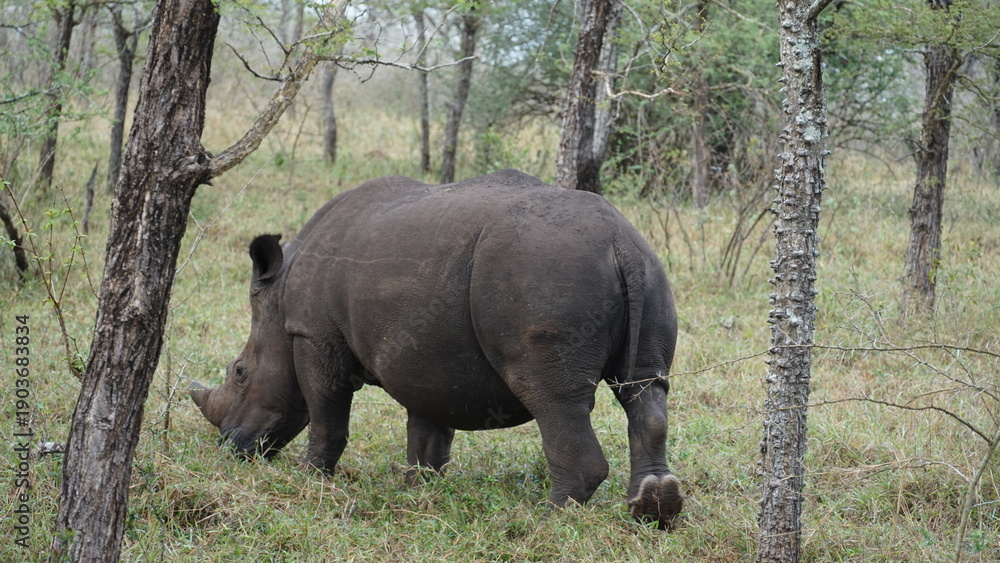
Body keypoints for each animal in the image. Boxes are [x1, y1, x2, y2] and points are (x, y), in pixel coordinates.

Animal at [190, 169, 682, 528]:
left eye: (239, 372)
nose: (229, 447)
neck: (281, 294)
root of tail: (619, 242)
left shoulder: (312, 334)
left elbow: (326, 413)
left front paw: (312, 480)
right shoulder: (424, 354)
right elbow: (427, 425)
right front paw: (419, 489)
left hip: (545, 271)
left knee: (554, 398)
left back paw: (547, 520)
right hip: (648, 270)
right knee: (644, 388)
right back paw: (654, 508)